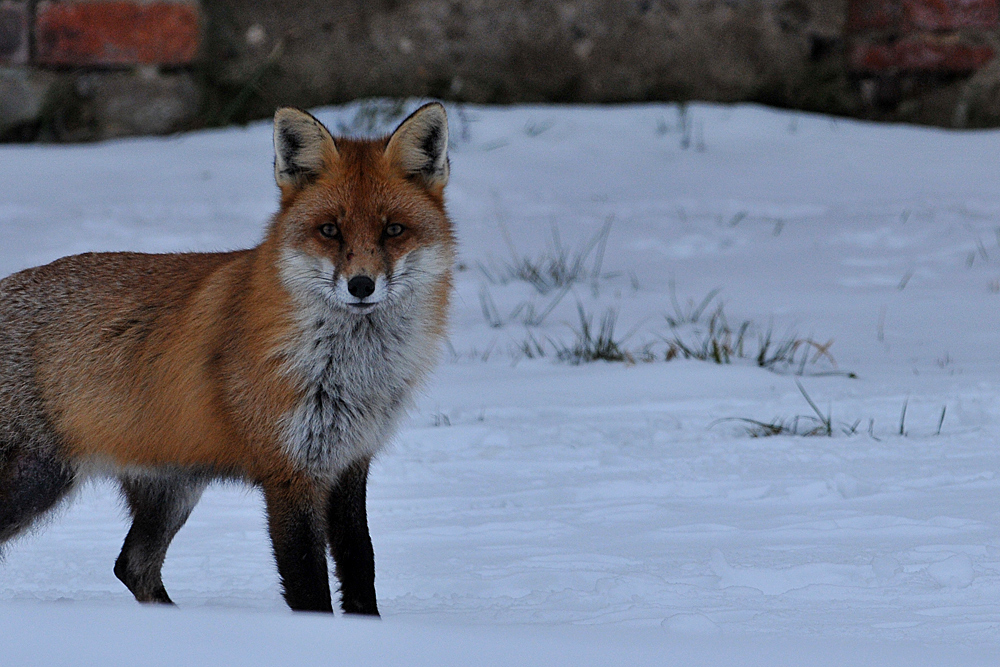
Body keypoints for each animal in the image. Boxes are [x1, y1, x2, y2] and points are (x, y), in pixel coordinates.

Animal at [0, 100, 458, 616]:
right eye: (330, 230)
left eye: (394, 230)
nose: (361, 285)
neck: (351, 372)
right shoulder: (288, 473)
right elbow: (309, 586)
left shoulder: (349, 462)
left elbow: (362, 566)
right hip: (39, 478)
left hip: (171, 487)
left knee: (132, 565)